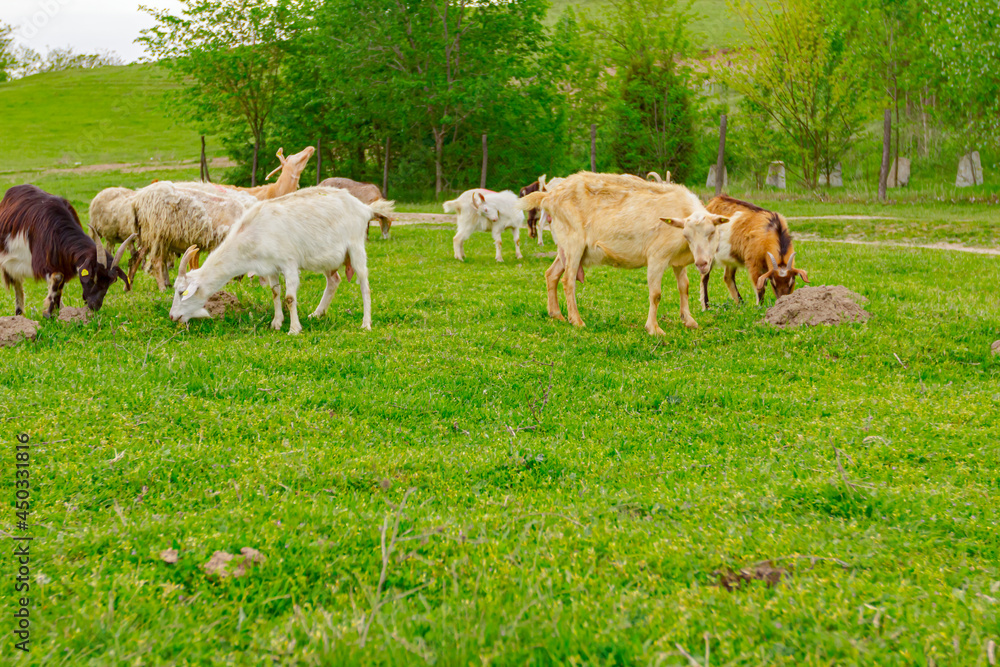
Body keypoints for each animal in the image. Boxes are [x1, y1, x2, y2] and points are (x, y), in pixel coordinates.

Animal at [0, 184, 135, 318]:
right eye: (93, 276)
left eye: (112, 281)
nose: (94, 306)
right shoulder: (44, 262)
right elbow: (57, 278)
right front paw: (48, 313)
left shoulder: (64, 262)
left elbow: (60, 286)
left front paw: (58, 312)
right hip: (10, 262)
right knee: (17, 284)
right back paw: (19, 315)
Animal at [170, 187, 392, 334]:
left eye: (182, 292)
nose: (173, 316)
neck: (254, 232)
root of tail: (365, 209)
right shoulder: (270, 267)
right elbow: (275, 293)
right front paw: (276, 323)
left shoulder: (289, 262)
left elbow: (290, 297)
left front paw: (294, 329)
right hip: (328, 256)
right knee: (334, 280)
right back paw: (317, 314)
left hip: (355, 245)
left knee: (364, 284)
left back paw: (366, 323)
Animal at [516, 174, 728, 334]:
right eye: (687, 235)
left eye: (712, 232)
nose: (702, 263)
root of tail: (550, 195)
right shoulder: (657, 256)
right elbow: (656, 294)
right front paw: (654, 328)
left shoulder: (677, 261)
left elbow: (684, 287)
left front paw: (689, 320)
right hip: (574, 244)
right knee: (568, 281)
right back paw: (576, 320)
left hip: (565, 249)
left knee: (551, 274)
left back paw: (556, 315)